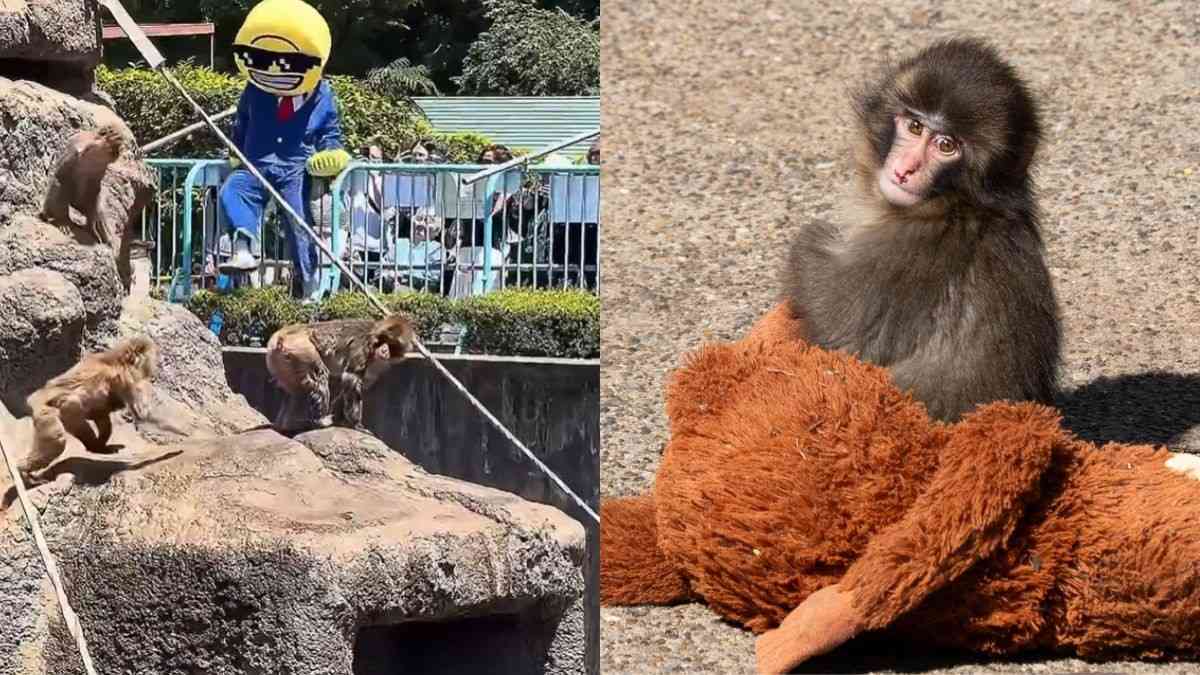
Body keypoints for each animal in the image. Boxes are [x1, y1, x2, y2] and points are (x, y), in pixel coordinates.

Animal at [19, 336, 158, 483]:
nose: (152, 372)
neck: (117, 360)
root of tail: (35, 398)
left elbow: (100, 412)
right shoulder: (125, 378)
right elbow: (139, 413)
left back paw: (98, 447)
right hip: (46, 413)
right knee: (59, 435)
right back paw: (23, 470)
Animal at [265, 315, 416, 433]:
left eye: (392, 345)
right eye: (385, 340)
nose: (385, 351)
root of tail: (281, 334)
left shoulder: (377, 365)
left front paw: (342, 418)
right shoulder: (362, 348)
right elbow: (351, 379)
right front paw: (355, 424)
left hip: (279, 359)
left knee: (295, 391)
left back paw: (287, 426)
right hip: (299, 347)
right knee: (320, 375)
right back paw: (319, 421)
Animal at [782, 38, 1060, 422]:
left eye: (946, 146)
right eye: (915, 126)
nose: (905, 170)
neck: (956, 205)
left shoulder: (902, 253)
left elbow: (839, 336)